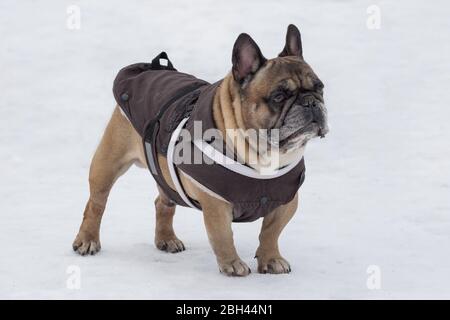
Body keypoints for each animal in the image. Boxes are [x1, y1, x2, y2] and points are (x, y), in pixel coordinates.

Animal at [73, 24, 326, 276]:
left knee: (163, 203)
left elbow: (271, 232)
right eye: (279, 96)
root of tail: (152, 67)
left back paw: (167, 239)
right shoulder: (216, 204)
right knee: (96, 204)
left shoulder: (286, 200)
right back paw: (87, 240)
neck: (263, 153)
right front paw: (232, 264)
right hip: (107, 164)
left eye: (320, 88)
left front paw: (271, 258)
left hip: (166, 178)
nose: (311, 102)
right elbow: (223, 236)